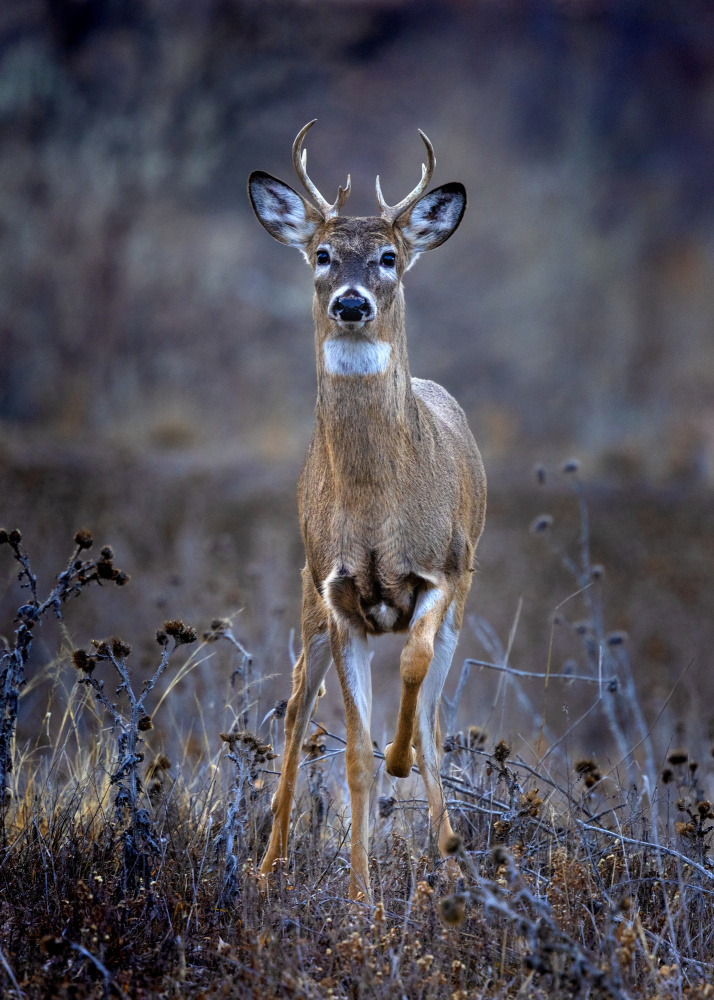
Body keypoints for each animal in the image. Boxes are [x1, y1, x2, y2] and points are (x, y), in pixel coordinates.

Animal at [248, 121, 486, 904]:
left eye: (389, 258)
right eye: (322, 255)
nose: (351, 303)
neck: (381, 509)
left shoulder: (443, 572)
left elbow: (411, 667)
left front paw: (400, 764)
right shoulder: (339, 593)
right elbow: (351, 754)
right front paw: (360, 900)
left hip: (463, 601)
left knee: (437, 720)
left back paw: (450, 851)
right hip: (305, 595)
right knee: (296, 708)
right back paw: (267, 866)